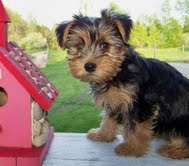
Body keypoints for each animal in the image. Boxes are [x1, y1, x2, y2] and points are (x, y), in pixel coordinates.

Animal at [55, 9, 189, 160]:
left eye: (105, 45)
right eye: (79, 46)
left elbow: (136, 127)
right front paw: (103, 134)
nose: (89, 66)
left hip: (180, 121)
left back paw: (175, 150)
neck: (118, 70)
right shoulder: (113, 100)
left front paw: (132, 148)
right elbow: (108, 118)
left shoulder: (140, 104)